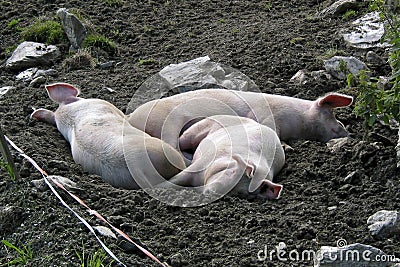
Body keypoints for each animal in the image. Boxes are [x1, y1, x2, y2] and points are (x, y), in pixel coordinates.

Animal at [126, 88, 352, 150]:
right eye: (330, 113)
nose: (347, 131)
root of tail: (130, 118)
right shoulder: (264, 115)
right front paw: (289, 148)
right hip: (168, 124)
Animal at [158, 115, 286, 201]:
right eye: (232, 172)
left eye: (239, 193)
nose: (213, 194)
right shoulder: (202, 162)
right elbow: (174, 180)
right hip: (197, 129)